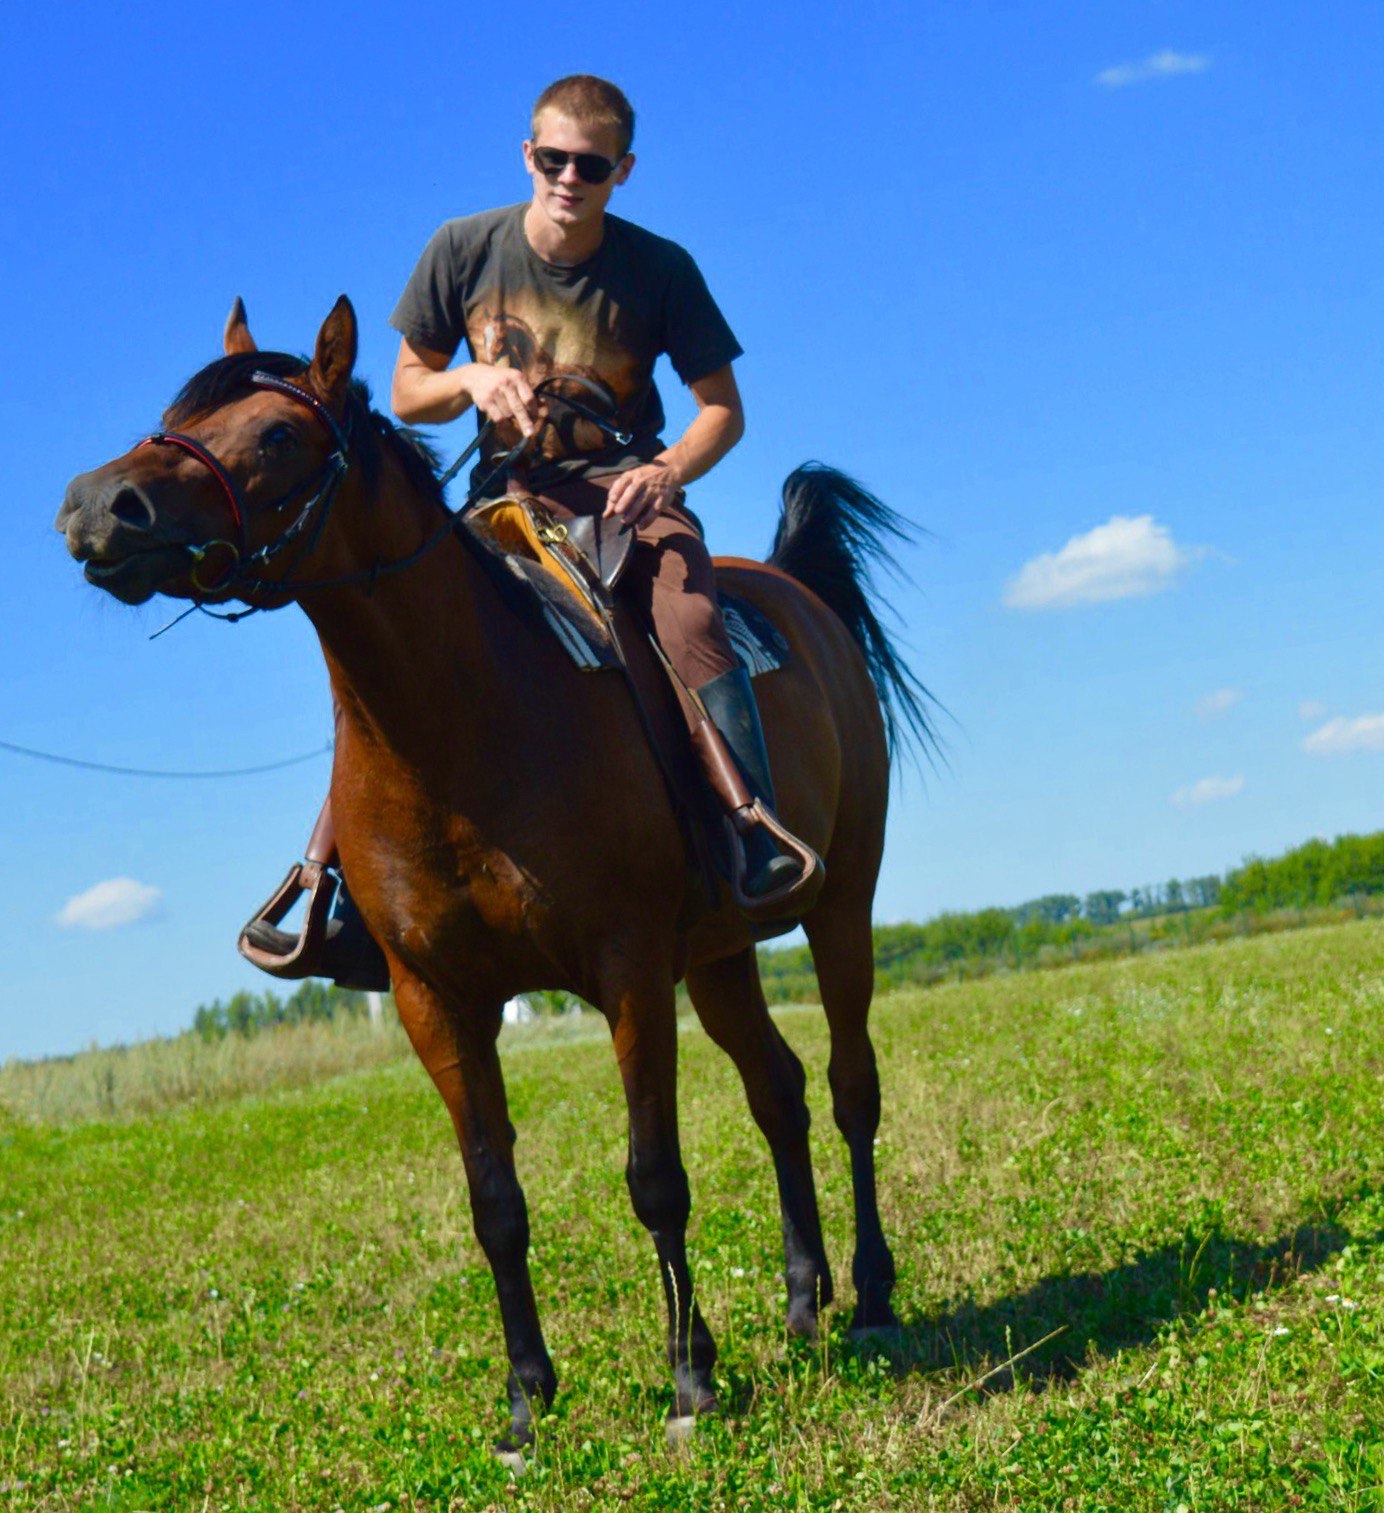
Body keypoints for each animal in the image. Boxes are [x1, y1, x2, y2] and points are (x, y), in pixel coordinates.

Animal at [59, 298, 937, 1452]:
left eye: (278, 434)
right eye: (177, 414)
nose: (95, 505)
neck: (463, 722)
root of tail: (799, 594)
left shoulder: (627, 971)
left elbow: (655, 1176)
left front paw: (689, 1380)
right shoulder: (437, 1002)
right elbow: (494, 1203)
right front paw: (526, 1400)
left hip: (841, 904)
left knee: (847, 1087)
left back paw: (873, 1296)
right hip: (720, 956)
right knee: (778, 1092)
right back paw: (803, 1299)